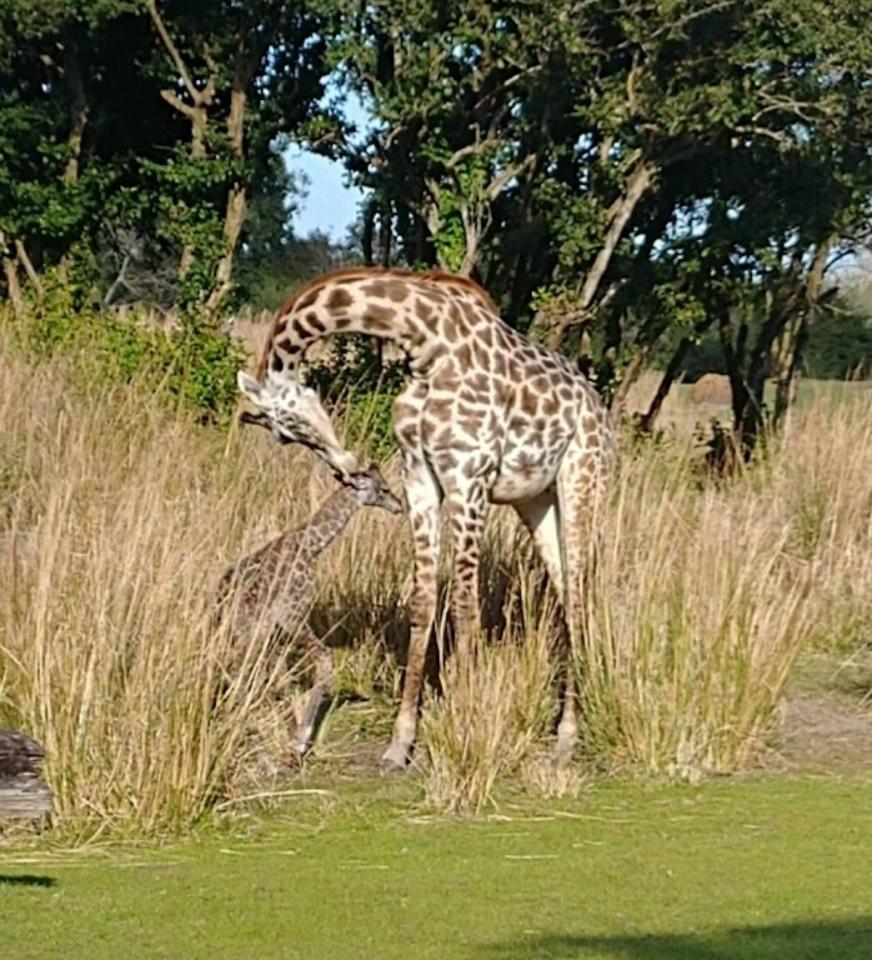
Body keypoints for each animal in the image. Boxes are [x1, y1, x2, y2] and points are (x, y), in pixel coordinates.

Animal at [215, 464, 402, 756]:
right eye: (384, 488)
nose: (399, 506)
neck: (311, 545)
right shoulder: (293, 615)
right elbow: (324, 659)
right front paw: (301, 737)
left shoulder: (278, 629)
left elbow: (284, 677)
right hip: (252, 632)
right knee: (238, 669)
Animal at [238, 266, 612, 768]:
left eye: (283, 431)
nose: (345, 464)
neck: (426, 342)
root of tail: (600, 409)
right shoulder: (418, 477)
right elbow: (422, 603)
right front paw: (400, 743)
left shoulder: (468, 478)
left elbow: (466, 607)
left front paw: (467, 723)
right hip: (536, 501)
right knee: (567, 592)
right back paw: (564, 733)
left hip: (582, 480)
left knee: (578, 595)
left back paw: (567, 738)